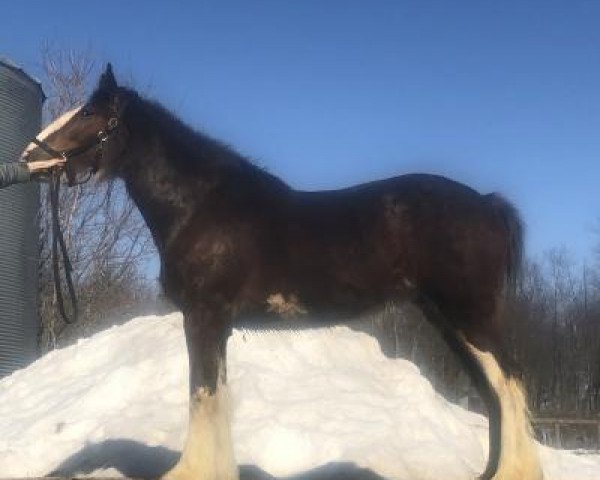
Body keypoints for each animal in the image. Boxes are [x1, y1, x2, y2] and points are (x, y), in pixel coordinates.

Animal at [22, 64, 544, 480]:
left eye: (90, 114)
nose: (30, 156)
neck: (202, 206)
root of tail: (486, 204)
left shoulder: (204, 316)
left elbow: (202, 394)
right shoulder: (215, 324)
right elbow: (216, 395)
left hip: (469, 315)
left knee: (511, 381)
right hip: (447, 319)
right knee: (492, 392)